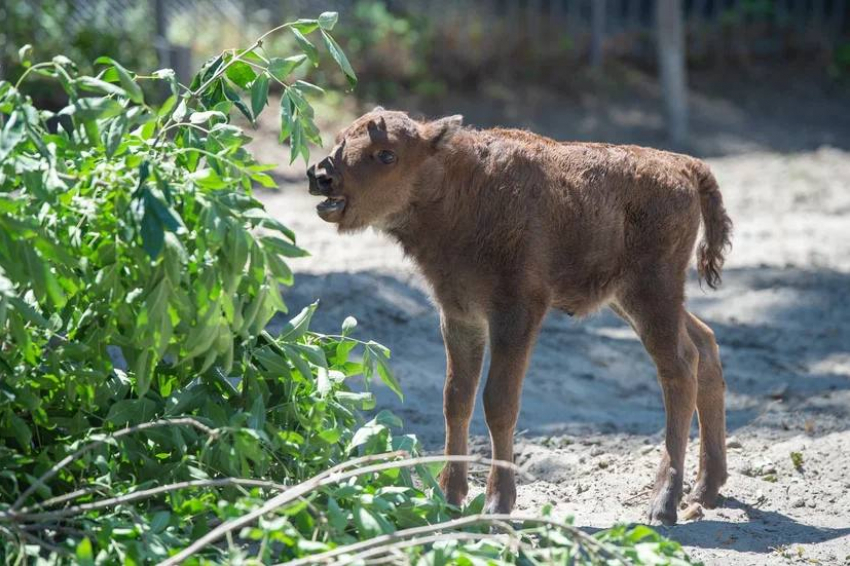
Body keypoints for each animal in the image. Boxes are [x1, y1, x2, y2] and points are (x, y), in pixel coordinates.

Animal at [304, 108, 728, 524]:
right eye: (341, 138)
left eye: (386, 154)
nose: (322, 176)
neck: (459, 185)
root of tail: (684, 165)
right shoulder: (460, 316)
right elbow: (456, 398)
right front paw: (449, 498)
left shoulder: (515, 313)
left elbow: (499, 402)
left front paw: (497, 504)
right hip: (627, 300)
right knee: (705, 342)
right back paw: (706, 489)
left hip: (651, 294)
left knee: (679, 368)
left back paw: (663, 505)